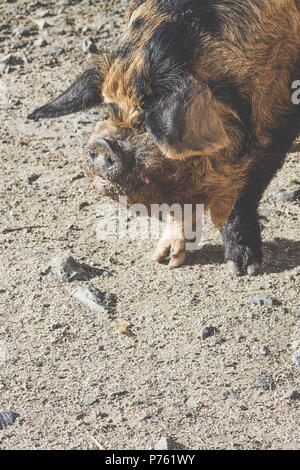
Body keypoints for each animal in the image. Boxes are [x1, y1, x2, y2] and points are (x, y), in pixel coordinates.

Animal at [29, 0, 300, 276]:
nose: (102, 145)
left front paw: (243, 269)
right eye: (110, 108)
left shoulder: (278, 124)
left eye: (148, 118)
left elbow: (243, 196)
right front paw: (166, 259)